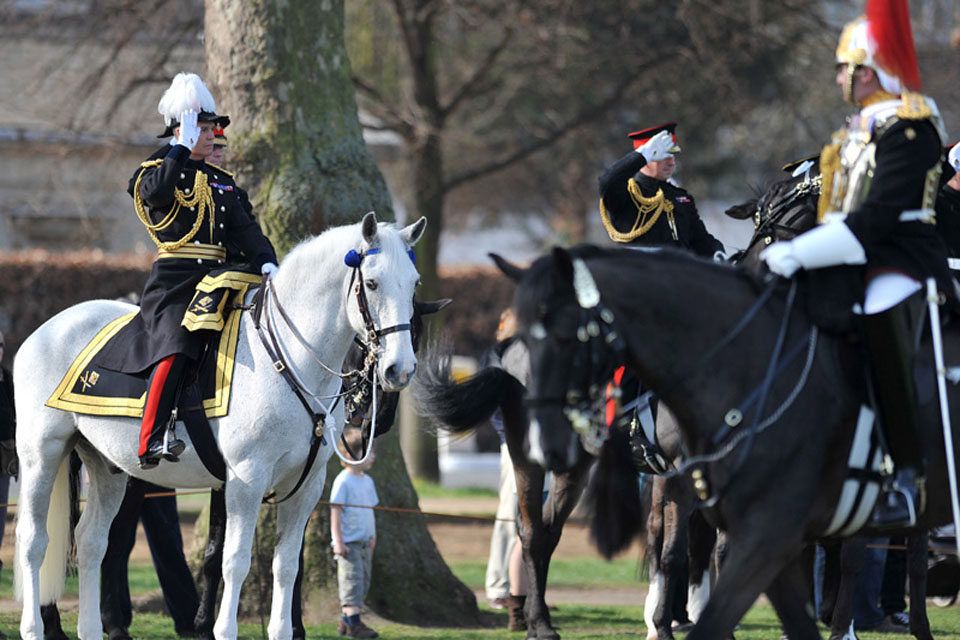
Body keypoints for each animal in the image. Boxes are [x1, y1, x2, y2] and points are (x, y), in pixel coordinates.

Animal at [13, 211, 426, 640]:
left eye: (414, 284)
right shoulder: (246, 479)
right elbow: (235, 560)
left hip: (108, 467)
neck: (290, 361)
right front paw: (222, 628)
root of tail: (46, 329)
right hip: (41, 455)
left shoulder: (306, 486)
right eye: (372, 283)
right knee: (33, 540)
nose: (400, 370)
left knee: (92, 541)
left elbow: (286, 566)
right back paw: (33, 627)